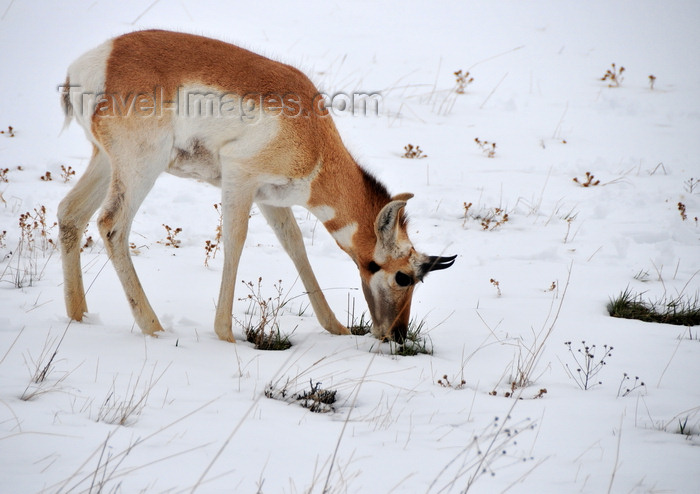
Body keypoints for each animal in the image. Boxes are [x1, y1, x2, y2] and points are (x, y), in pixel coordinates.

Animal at [58, 29, 454, 342]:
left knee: (70, 213)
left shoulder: (272, 200)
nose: (398, 335)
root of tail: (96, 61)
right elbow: (235, 241)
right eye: (403, 277)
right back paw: (153, 327)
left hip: (105, 162)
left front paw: (336, 328)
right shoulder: (240, 179)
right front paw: (225, 334)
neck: (316, 145)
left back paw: (79, 317)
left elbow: (295, 246)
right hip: (141, 168)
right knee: (112, 226)